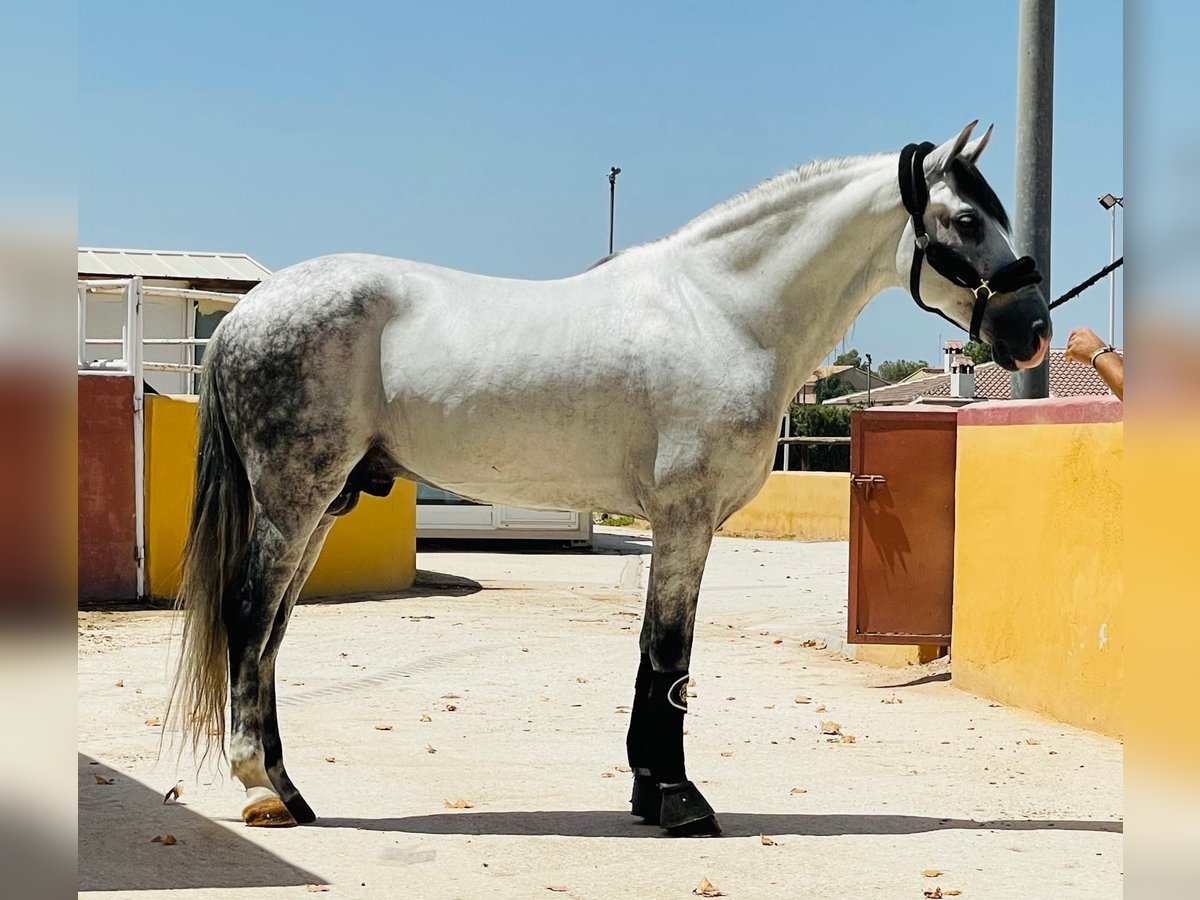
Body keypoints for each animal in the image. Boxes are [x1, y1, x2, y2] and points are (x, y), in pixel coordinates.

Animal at [169, 121, 1051, 840]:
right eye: (967, 220)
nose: (1034, 330)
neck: (721, 312)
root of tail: (247, 313)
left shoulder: (673, 522)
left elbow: (651, 654)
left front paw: (648, 791)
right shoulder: (686, 517)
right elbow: (670, 654)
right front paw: (681, 801)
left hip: (324, 503)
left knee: (273, 631)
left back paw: (288, 789)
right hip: (295, 498)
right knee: (249, 617)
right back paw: (263, 791)